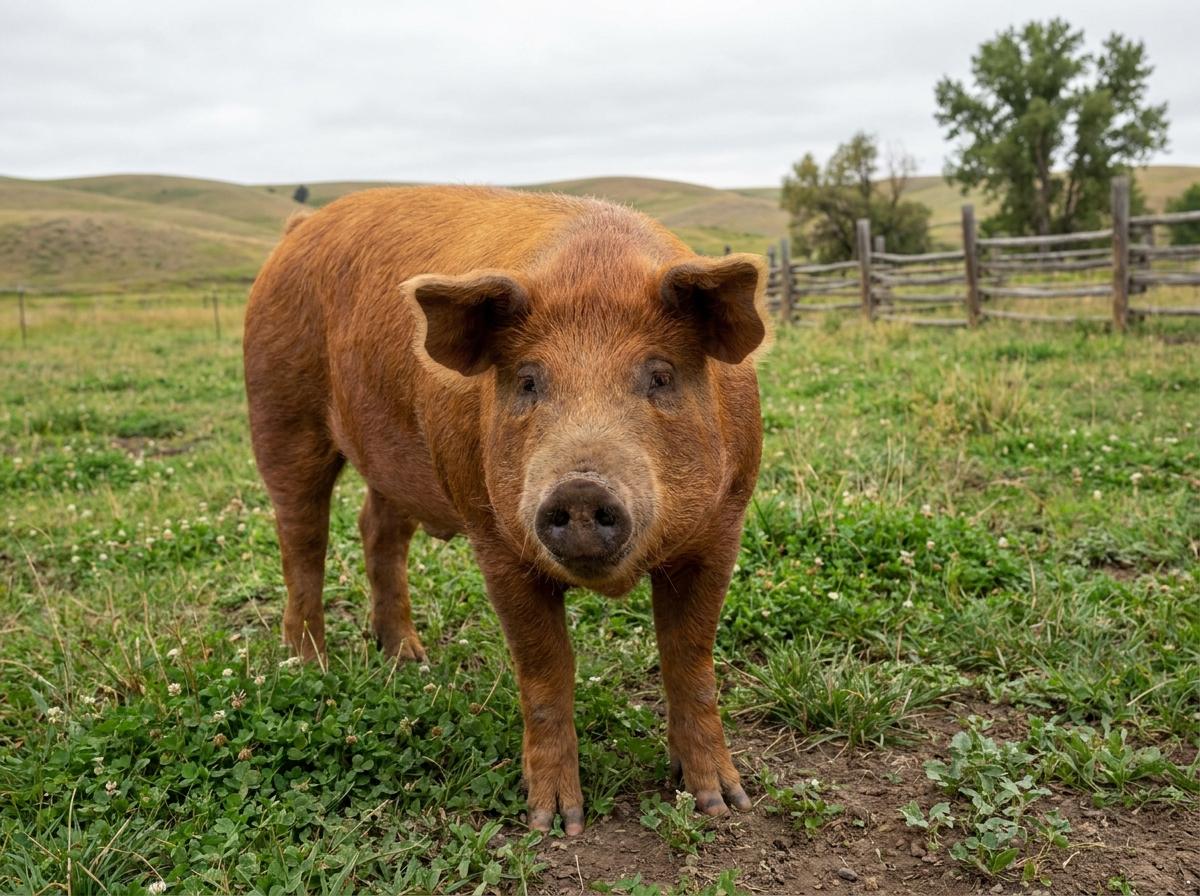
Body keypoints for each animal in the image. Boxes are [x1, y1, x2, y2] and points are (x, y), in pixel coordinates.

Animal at [243, 186, 769, 834]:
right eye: (527, 381)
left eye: (661, 376)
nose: (580, 489)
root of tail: (296, 231)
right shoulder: (493, 535)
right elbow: (545, 668)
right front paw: (555, 822)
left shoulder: (724, 525)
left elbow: (689, 658)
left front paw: (723, 803)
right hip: (279, 407)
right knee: (301, 533)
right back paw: (308, 663)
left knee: (378, 530)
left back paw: (409, 659)